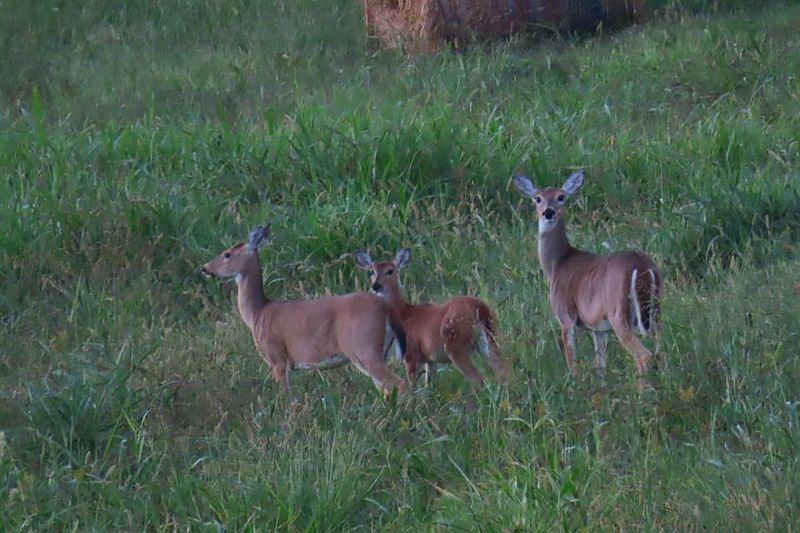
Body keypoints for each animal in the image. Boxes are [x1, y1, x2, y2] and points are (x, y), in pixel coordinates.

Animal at [200, 222, 406, 396]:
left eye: (227, 254)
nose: (205, 268)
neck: (257, 313)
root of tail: (387, 309)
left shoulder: (278, 358)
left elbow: (286, 397)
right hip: (378, 351)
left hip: (364, 348)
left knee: (398, 382)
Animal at [354, 247, 510, 388]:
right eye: (371, 271)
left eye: (390, 271)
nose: (376, 286)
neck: (403, 314)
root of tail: (479, 308)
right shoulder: (430, 359)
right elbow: (430, 386)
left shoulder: (411, 354)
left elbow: (414, 387)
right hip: (489, 338)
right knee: (503, 369)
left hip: (455, 342)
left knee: (479, 379)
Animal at [512, 170, 664, 390]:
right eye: (537, 198)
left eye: (561, 197)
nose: (548, 212)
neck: (558, 263)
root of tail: (642, 267)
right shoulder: (598, 328)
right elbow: (600, 365)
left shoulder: (565, 316)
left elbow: (572, 362)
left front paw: (575, 389)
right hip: (655, 311)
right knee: (662, 348)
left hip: (619, 313)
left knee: (644, 354)